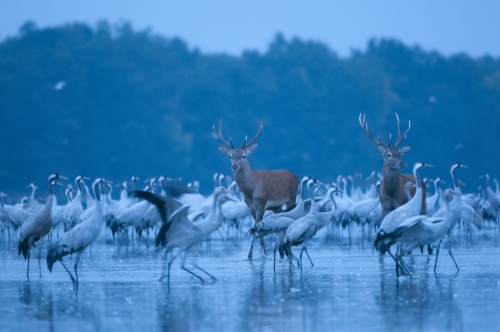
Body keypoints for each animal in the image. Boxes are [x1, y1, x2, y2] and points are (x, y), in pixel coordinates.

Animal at [213, 119, 298, 260]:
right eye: (230, 156)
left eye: (243, 156)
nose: (235, 166)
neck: (250, 190)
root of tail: (296, 176)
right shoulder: (251, 206)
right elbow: (258, 228)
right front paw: (264, 253)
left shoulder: (261, 203)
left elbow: (256, 230)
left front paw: (250, 255)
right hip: (277, 207)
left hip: (292, 197)